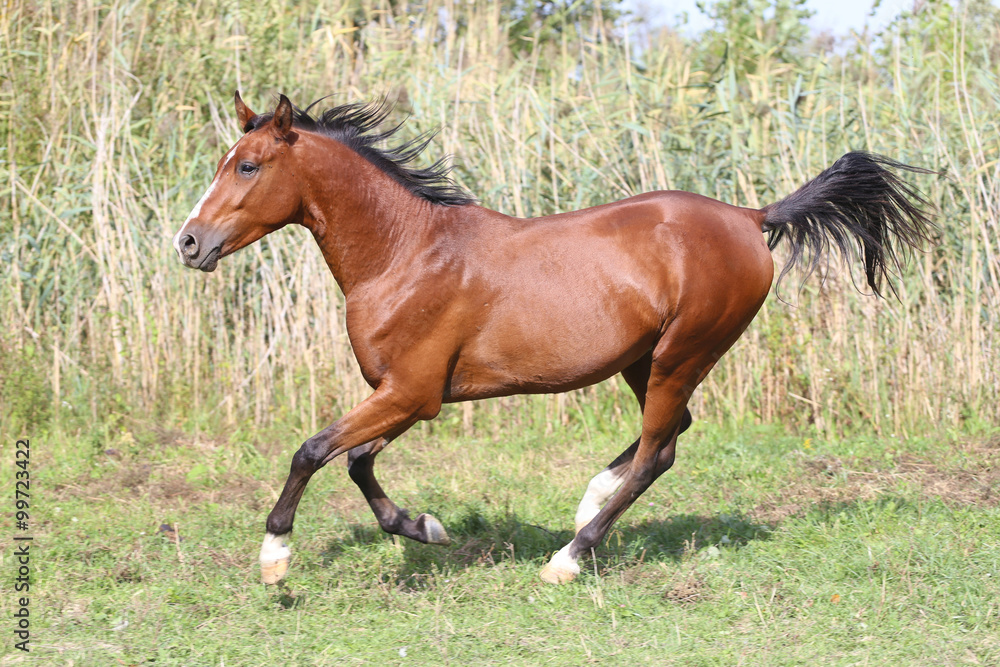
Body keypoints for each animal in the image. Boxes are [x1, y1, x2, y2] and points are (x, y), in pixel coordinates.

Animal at [172, 92, 933, 585]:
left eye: (247, 165)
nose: (189, 242)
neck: (404, 252)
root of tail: (751, 217)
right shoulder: (407, 395)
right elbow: (357, 461)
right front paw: (427, 527)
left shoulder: (412, 393)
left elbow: (313, 449)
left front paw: (275, 558)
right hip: (645, 359)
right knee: (671, 433)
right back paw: (591, 498)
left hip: (683, 352)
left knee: (659, 451)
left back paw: (569, 555)